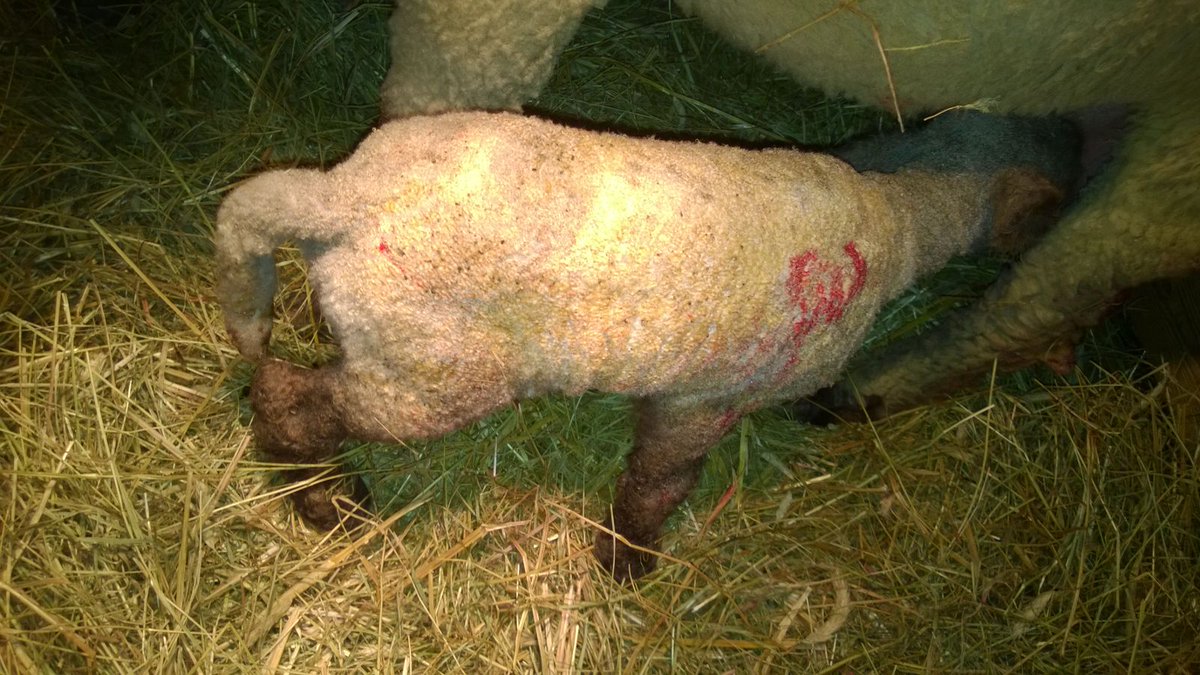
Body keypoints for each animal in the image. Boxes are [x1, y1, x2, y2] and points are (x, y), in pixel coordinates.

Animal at [217, 110, 1080, 579]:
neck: (895, 225)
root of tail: (342, 198)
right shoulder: (711, 395)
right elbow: (660, 481)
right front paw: (628, 560)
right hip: (429, 370)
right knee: (293, 401)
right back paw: (326, 504)